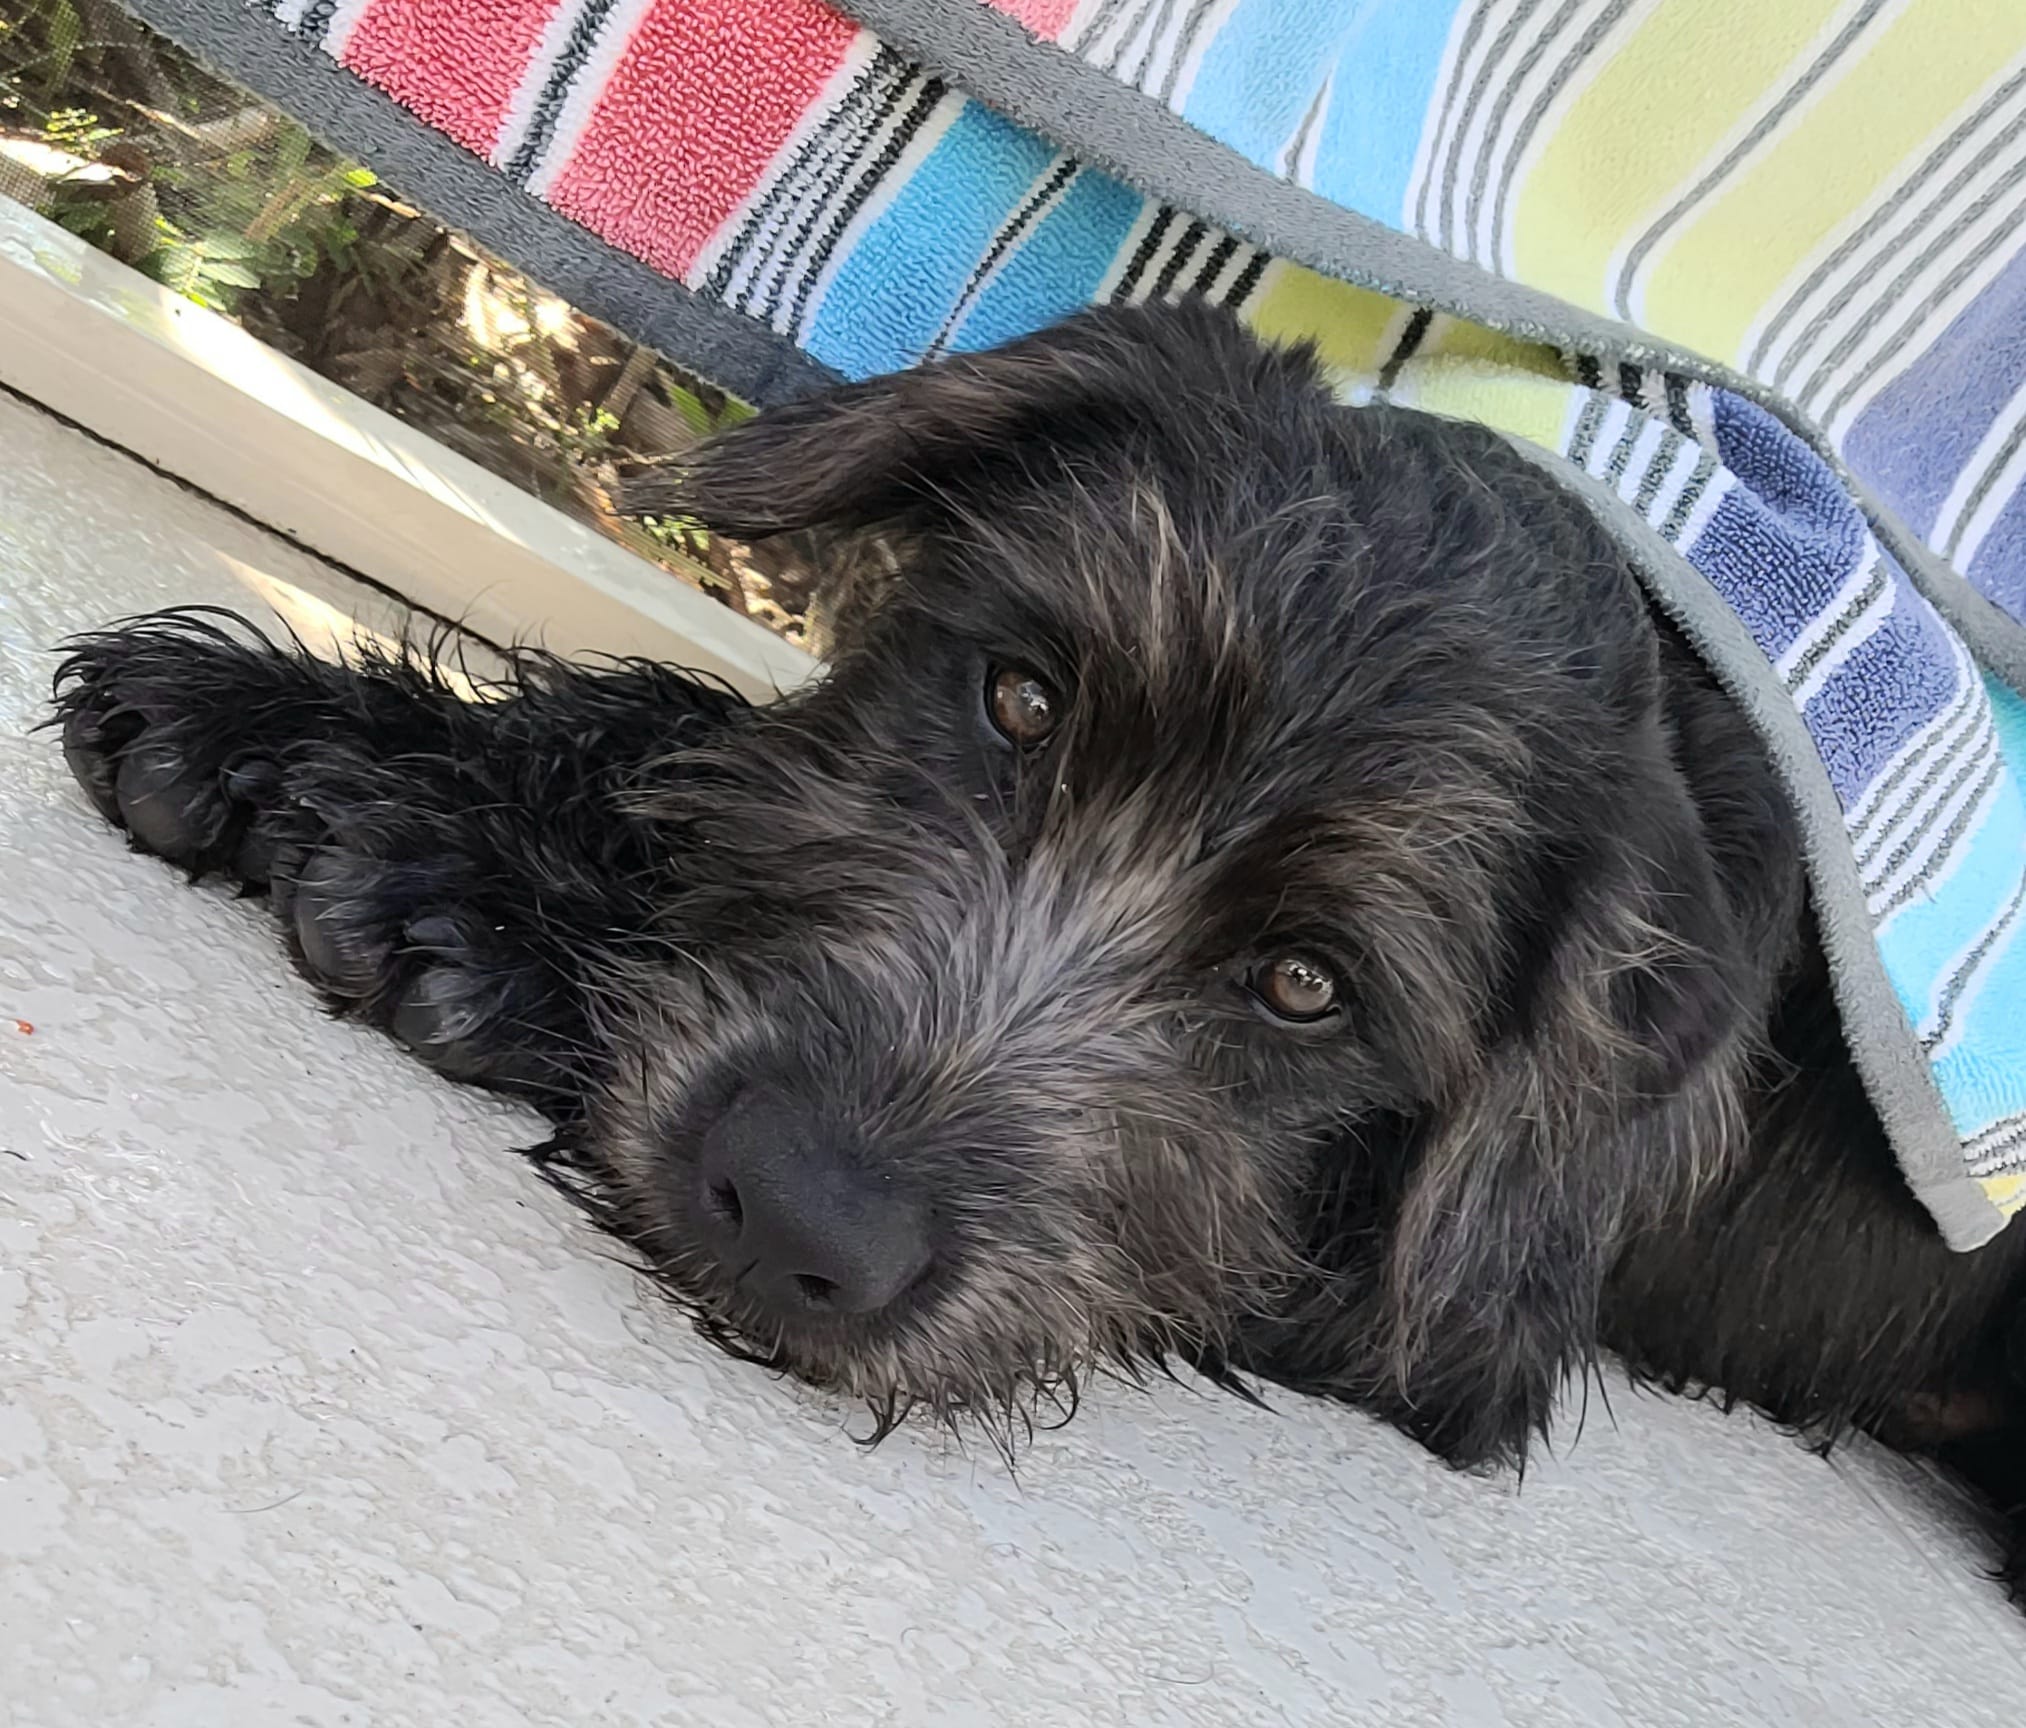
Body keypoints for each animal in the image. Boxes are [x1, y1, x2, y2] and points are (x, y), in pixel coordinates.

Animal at [49, 301, 2025, 1600]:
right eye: (1017, 698)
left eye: (1305, 987)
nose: (792, 1213)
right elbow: (687, 733)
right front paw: (302, 728)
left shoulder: (1459, 1342)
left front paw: (479, 899)